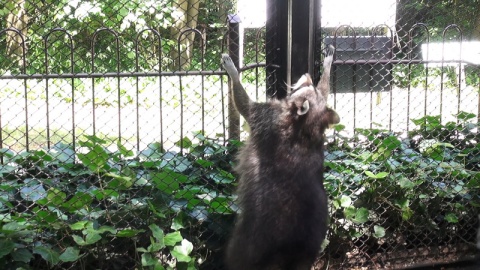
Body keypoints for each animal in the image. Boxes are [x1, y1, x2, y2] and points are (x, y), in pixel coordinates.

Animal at [221, 45, 338, 268]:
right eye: (311, 85)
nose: (308, 74)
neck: (305, 128)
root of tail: (288, 251)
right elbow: (326, 91)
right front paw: (327, 66)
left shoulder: (268, 118)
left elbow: (244, 104)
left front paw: (234, 74)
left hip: (248, 241)